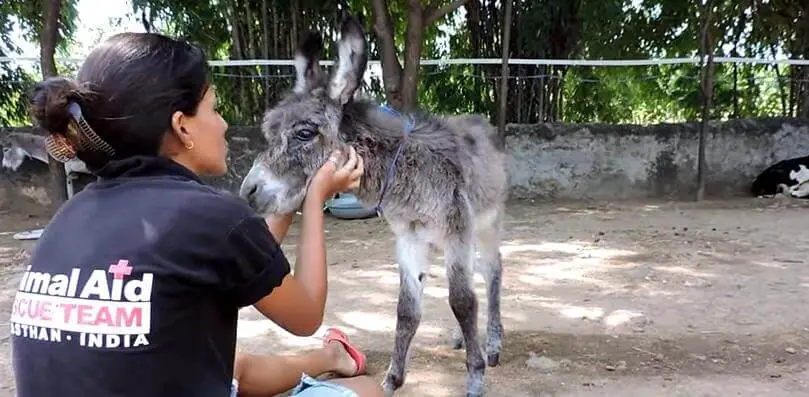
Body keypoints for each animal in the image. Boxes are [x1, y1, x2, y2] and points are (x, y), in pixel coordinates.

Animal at [237, 15, 508, 396]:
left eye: (305, 133)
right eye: (269, 133)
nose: (248, 191)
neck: (407, 172)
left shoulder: (456, 229)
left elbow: (462, 301)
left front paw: (475, 377)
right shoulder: (410, 238)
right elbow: (408, 309)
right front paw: (394, 379)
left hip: (485, 224)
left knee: (492, 272)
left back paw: (493, 345)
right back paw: (463, 338)